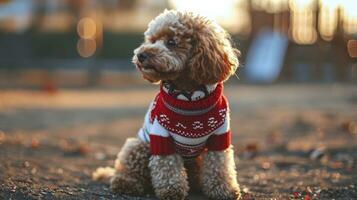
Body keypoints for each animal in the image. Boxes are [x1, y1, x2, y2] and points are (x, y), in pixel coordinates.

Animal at [93, 9, 241, 200]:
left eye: (172, 42)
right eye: (152, 40)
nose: (141, 55)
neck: (188, 96)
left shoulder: (219, 138)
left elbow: (219, 166)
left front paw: (224, 190)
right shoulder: (161, 137)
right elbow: (168, 167)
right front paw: (172, 190)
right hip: (139, 145)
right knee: (126, 169)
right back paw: (125, 183)